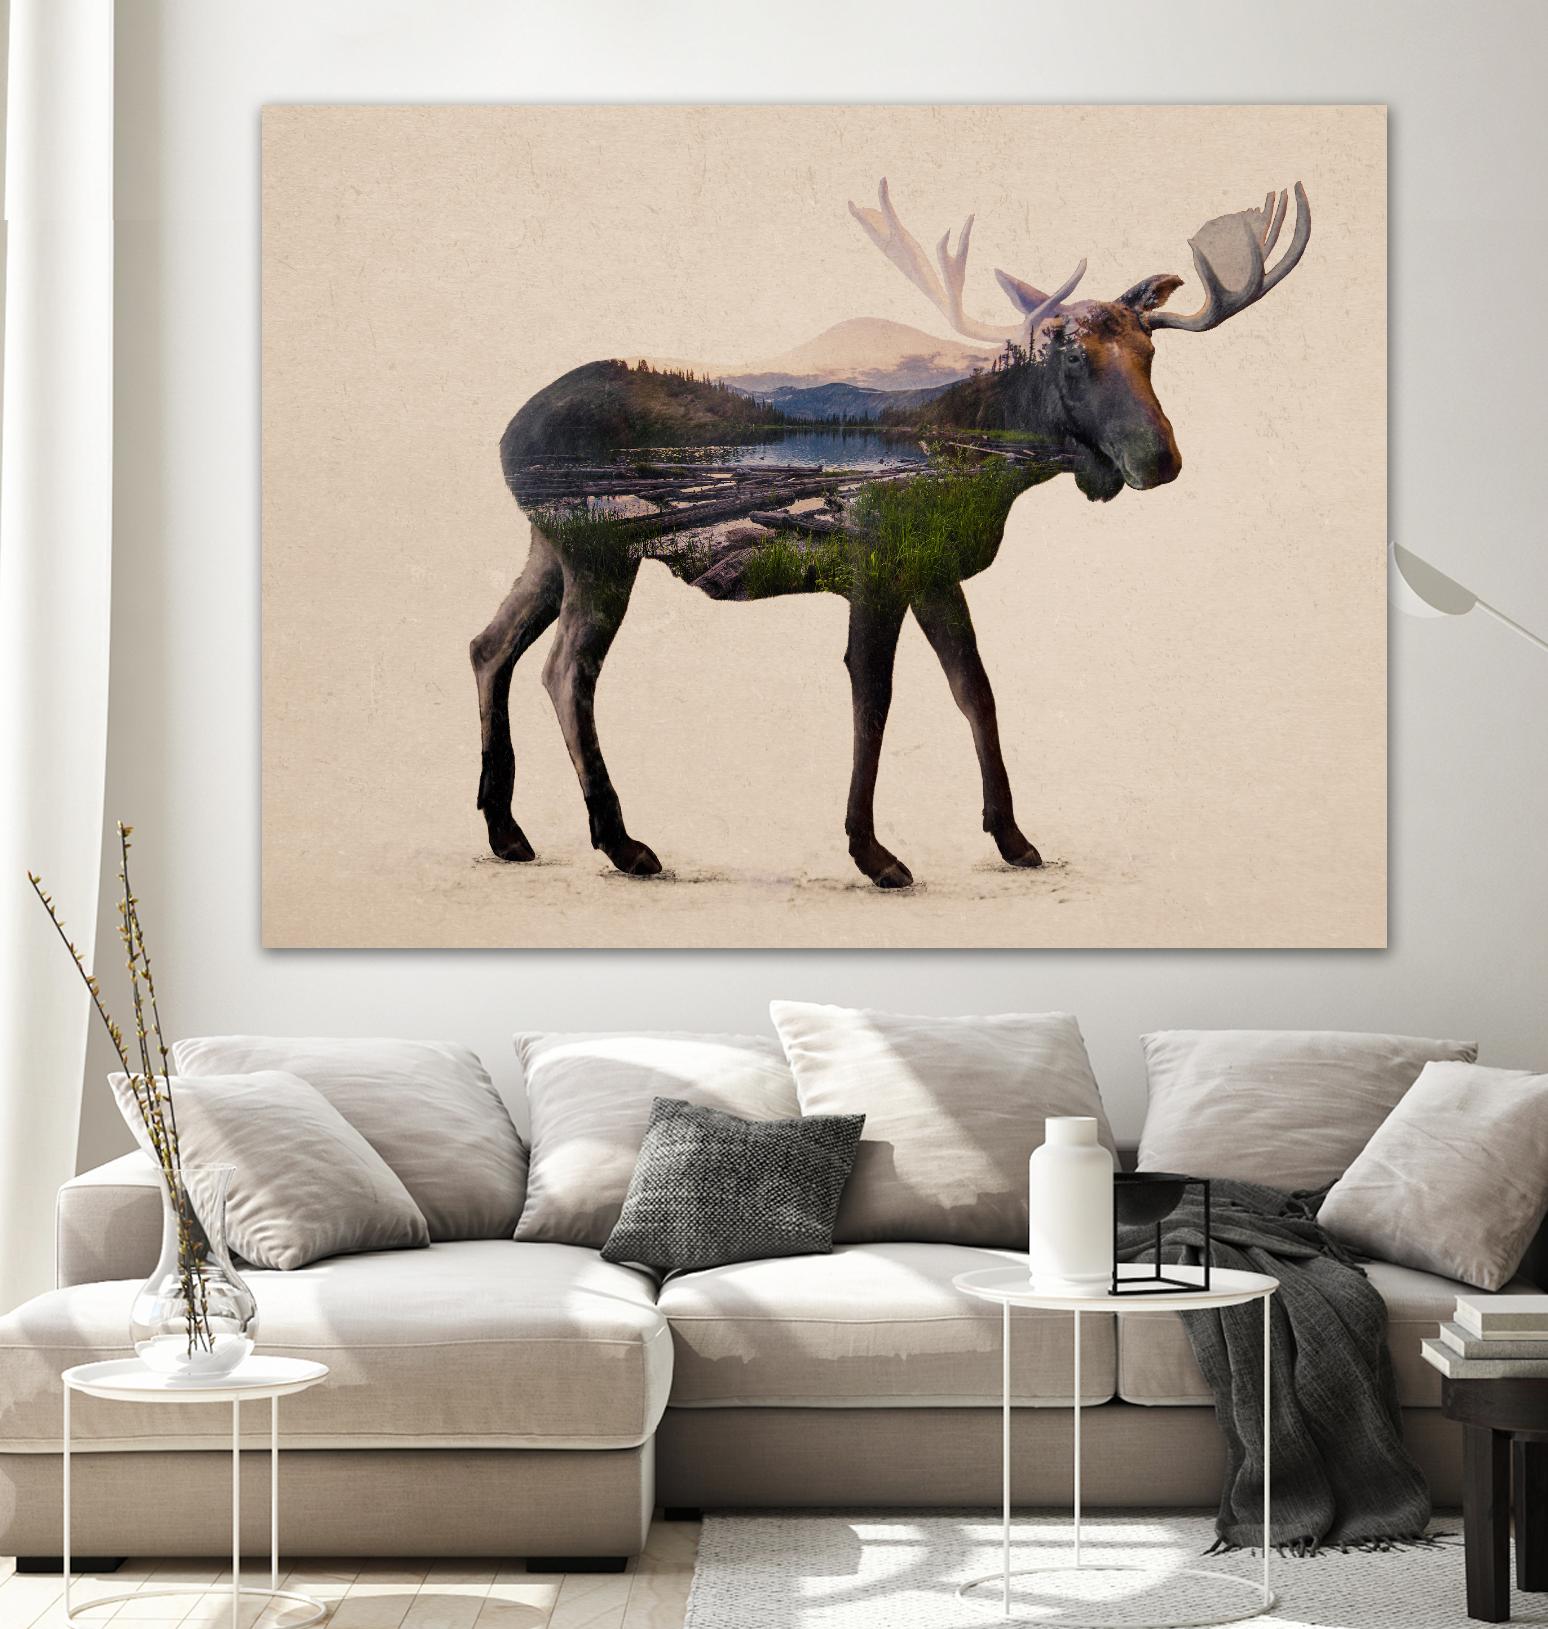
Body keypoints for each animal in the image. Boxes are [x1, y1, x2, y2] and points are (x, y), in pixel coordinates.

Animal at [472, 180, 1311, 890]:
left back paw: (508, 831)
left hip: (548, 548)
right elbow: (873, 697)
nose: (1159, 458)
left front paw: (1014, 837)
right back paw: (623, 843)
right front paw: (873, 852)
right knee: (565, 672)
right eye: (1071, 353)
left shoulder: (936, 572)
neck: (990, 466)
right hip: (597, 551)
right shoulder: (876, 570)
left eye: (1150, 350)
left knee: (490, 645)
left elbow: (976, 690)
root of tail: (506, 433)